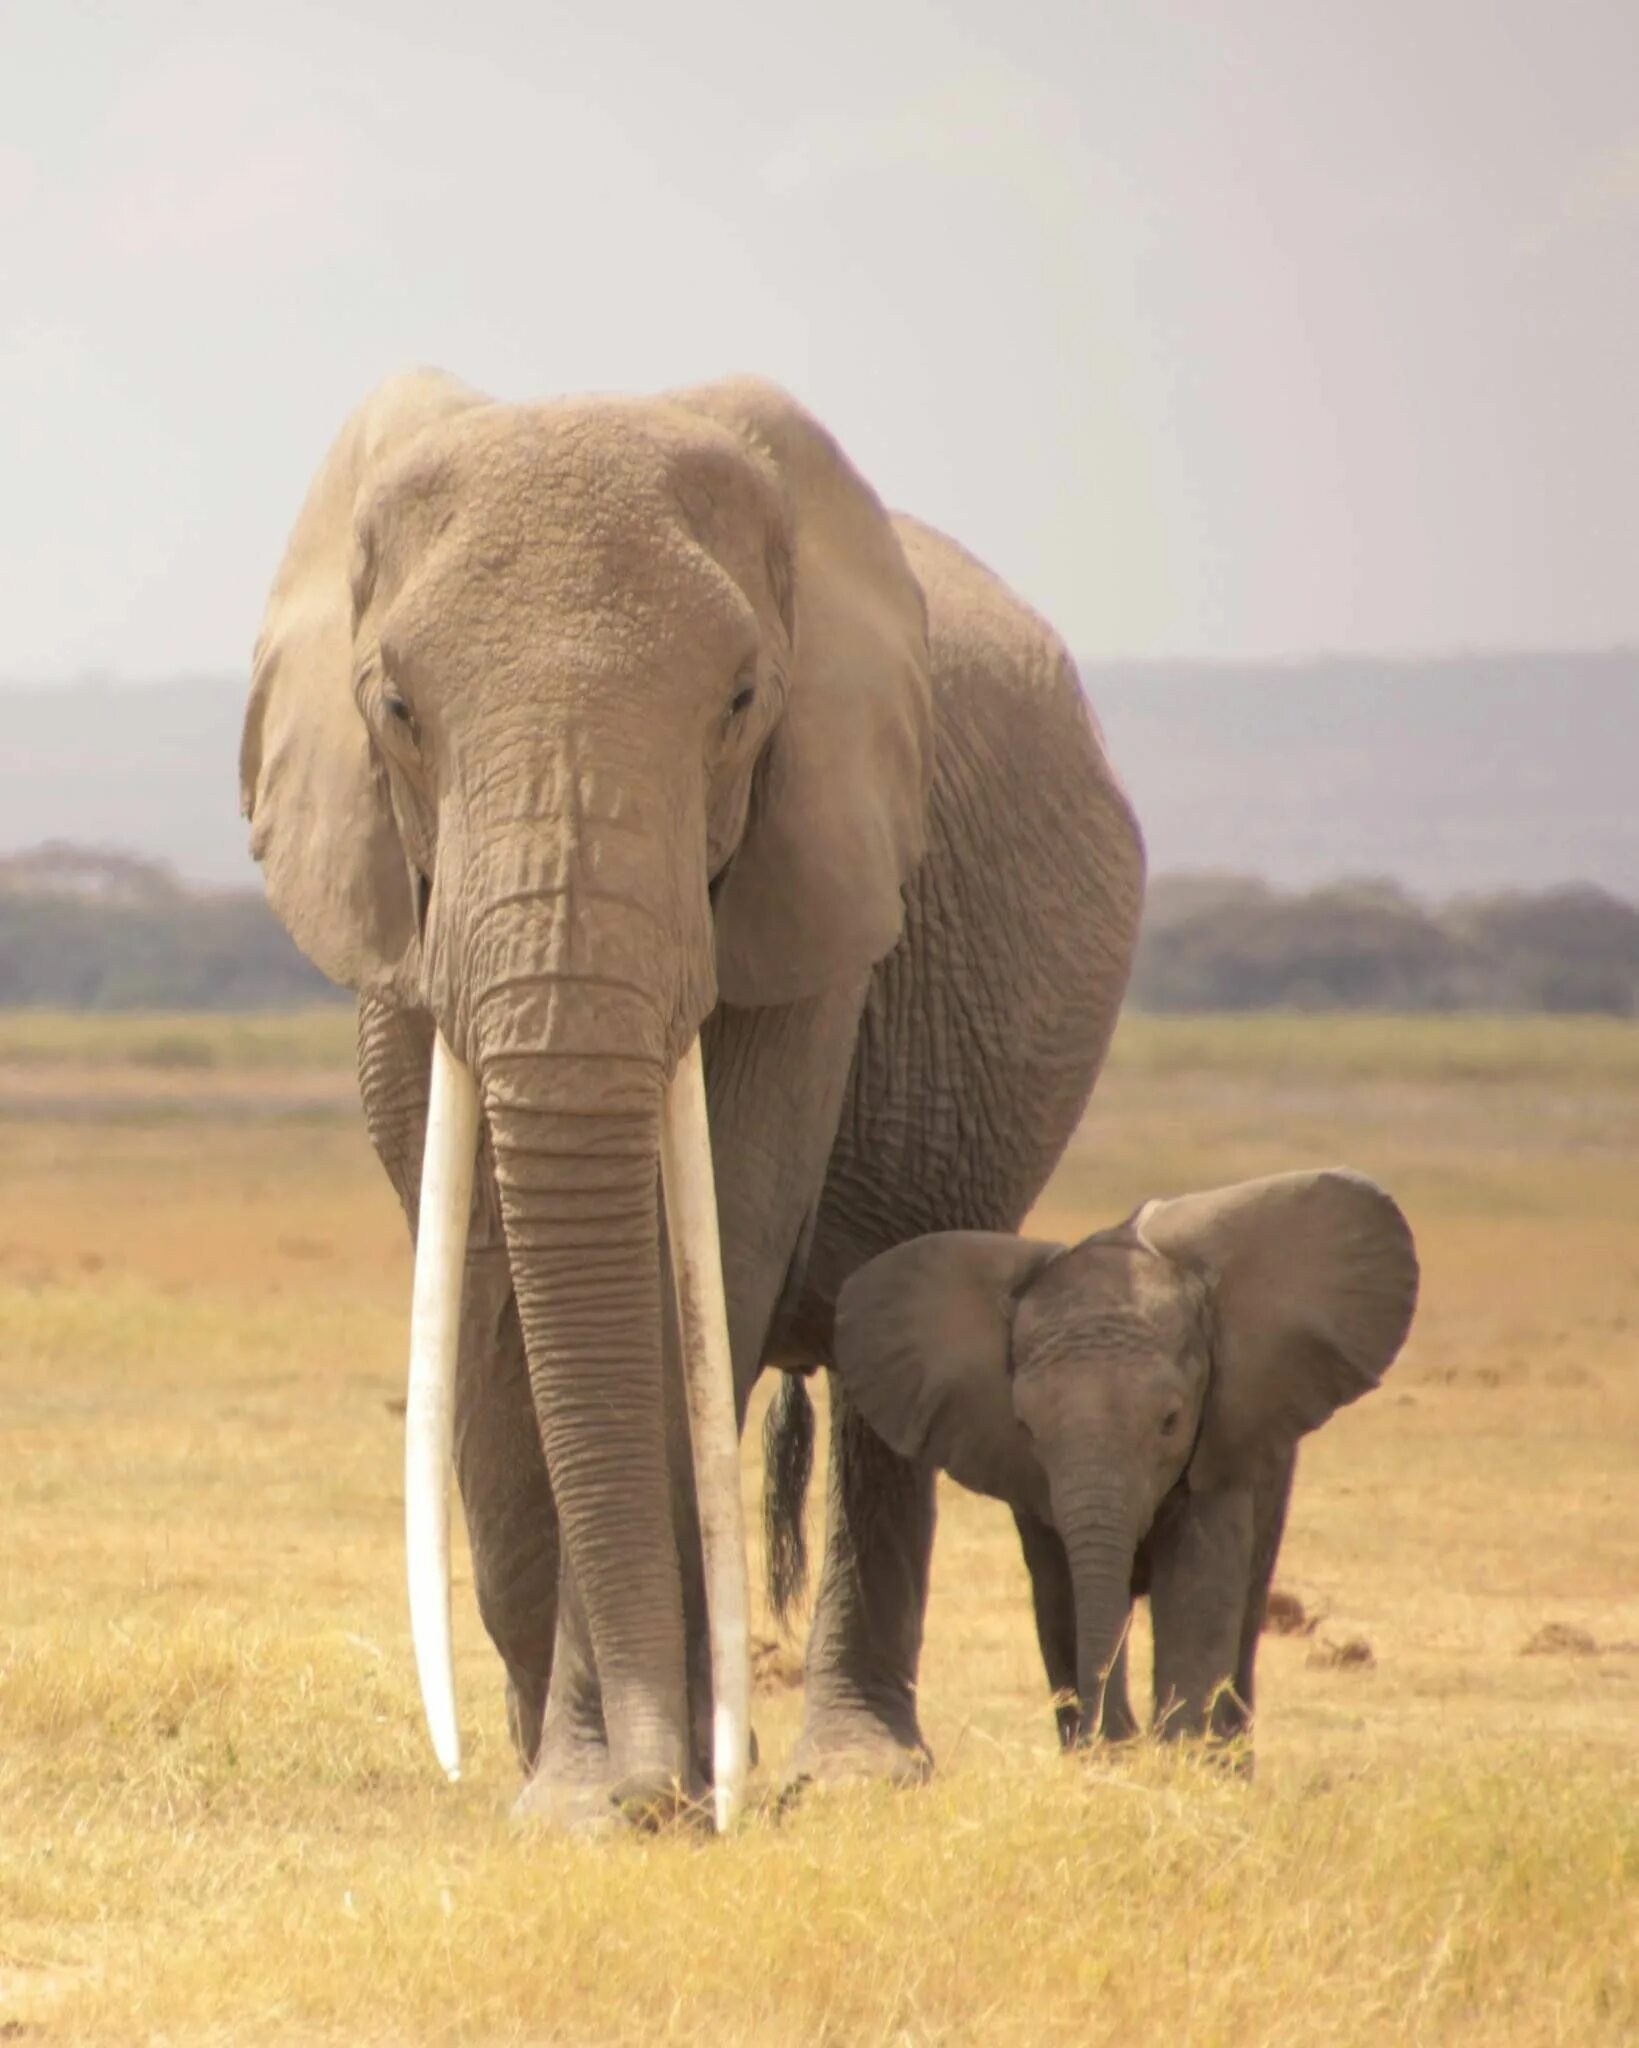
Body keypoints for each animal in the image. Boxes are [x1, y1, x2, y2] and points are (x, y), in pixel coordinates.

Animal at [239, 376, 1139, 1835]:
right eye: (395, 706)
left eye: (739, 701)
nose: (666, 1789)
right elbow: (487, 1284)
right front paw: (562, 1792)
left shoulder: (806, 887)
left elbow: (697, 1258)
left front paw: (604, 1795)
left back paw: (850, 1771)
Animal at [839, 1179, 1417, 1753]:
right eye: (1027, 1428)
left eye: (1170, 1422)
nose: (1123, 1735)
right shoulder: (1031, 1484)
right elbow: (1061, 1597)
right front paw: (1106, 1756)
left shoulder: (1218, 1445)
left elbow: (1196, 1591)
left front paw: (1175, 1759)